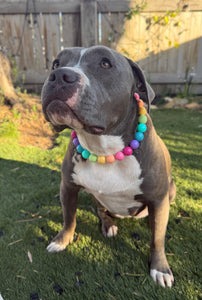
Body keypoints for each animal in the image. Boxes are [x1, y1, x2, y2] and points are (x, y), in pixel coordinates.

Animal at [41, 45, 176, 288]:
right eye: (56, 63)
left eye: (105, 63)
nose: (59, 75)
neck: (104, 148)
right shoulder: (68, 187)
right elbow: (68, 218)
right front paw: (61, 240)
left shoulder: (159, 199)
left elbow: (158, 240)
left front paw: (160, 268)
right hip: (97, 198)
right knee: (102, 211)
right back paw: (108, 225)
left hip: (171, 190)